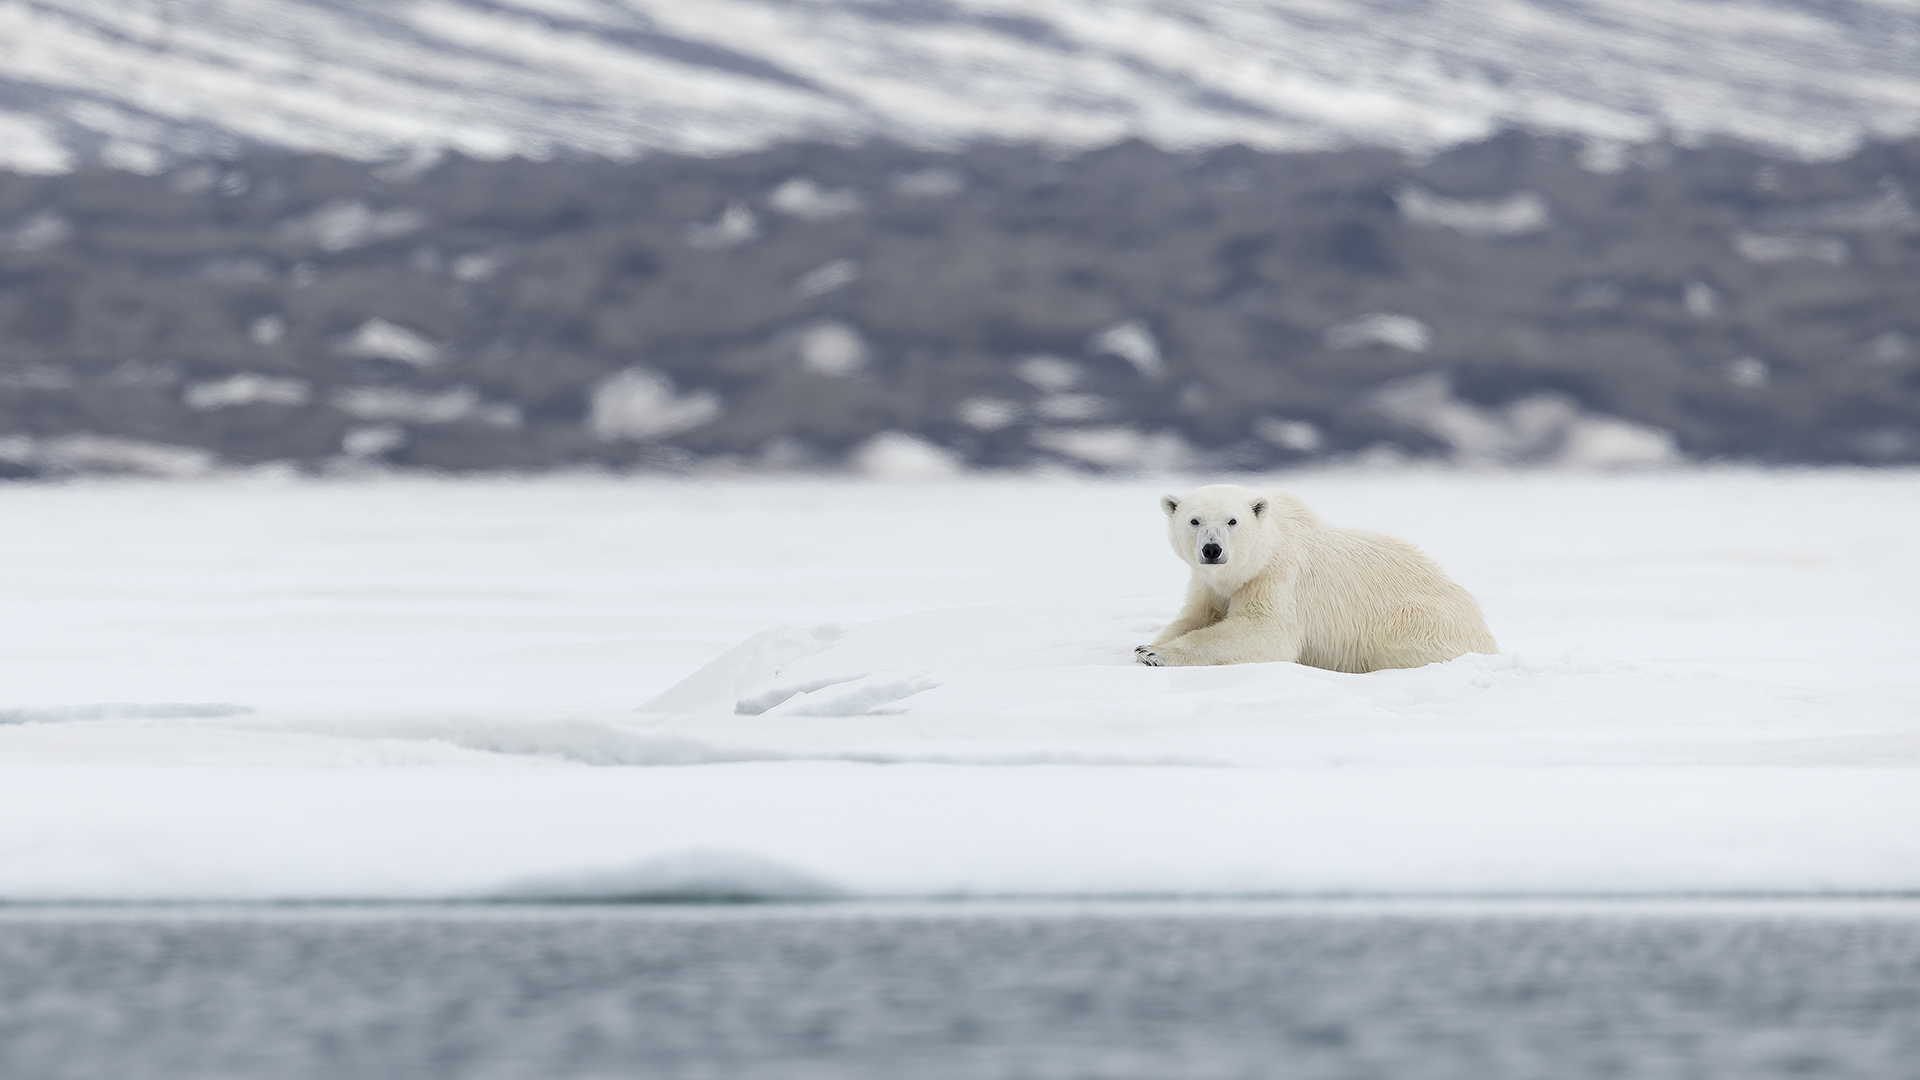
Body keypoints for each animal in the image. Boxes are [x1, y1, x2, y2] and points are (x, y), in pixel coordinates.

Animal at [1134, 483, 1497, 672]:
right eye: (1194, 520)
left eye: (1232, 520)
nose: (1212, 549)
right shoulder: (1209, 586)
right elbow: (1194, 616)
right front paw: (1146, 645)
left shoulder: (1278, 577)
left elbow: (1264, 632)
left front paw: (1154, 653)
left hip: (1422, 618)